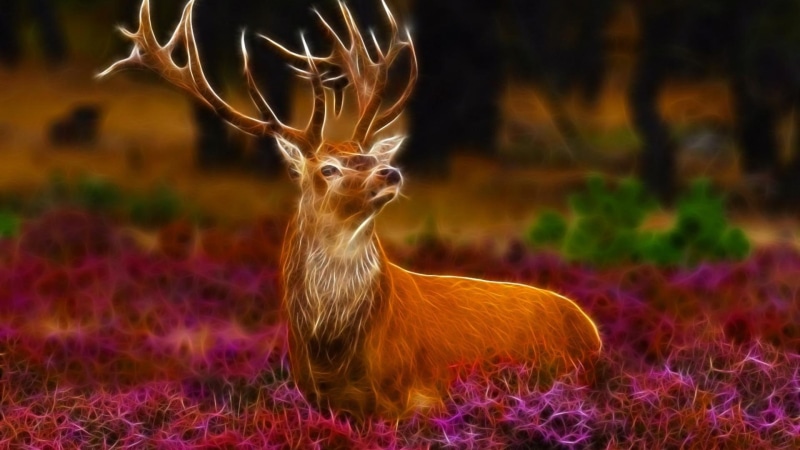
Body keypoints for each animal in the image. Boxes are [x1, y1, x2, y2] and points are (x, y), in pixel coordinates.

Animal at [100, 0, 602, 420]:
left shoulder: (416, 396)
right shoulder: (319, 399)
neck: (335, 354)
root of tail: (594, 331)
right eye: (328, 167)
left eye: (368, 156)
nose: (390, 172)